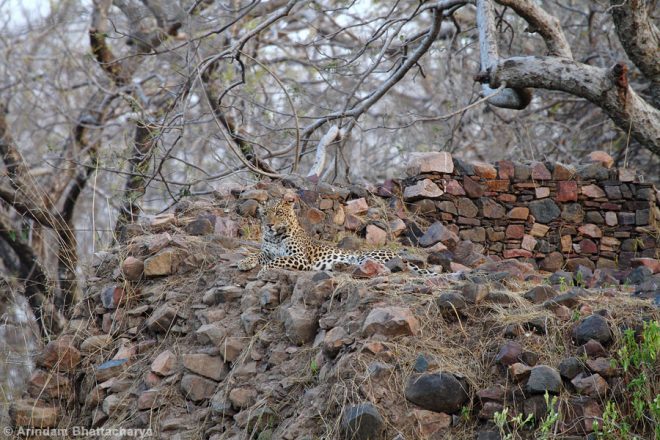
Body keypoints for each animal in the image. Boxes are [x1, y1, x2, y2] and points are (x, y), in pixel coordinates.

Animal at [237, 197, 437, 277]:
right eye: (265, 213)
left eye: (279, 213)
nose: (269, 225)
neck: (276, 237)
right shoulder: (268, 251)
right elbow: (258, 254)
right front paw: (245, 262)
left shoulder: (300, 258)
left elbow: (276, 261)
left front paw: (264, 271)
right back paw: (339, 265)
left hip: (370, 256)